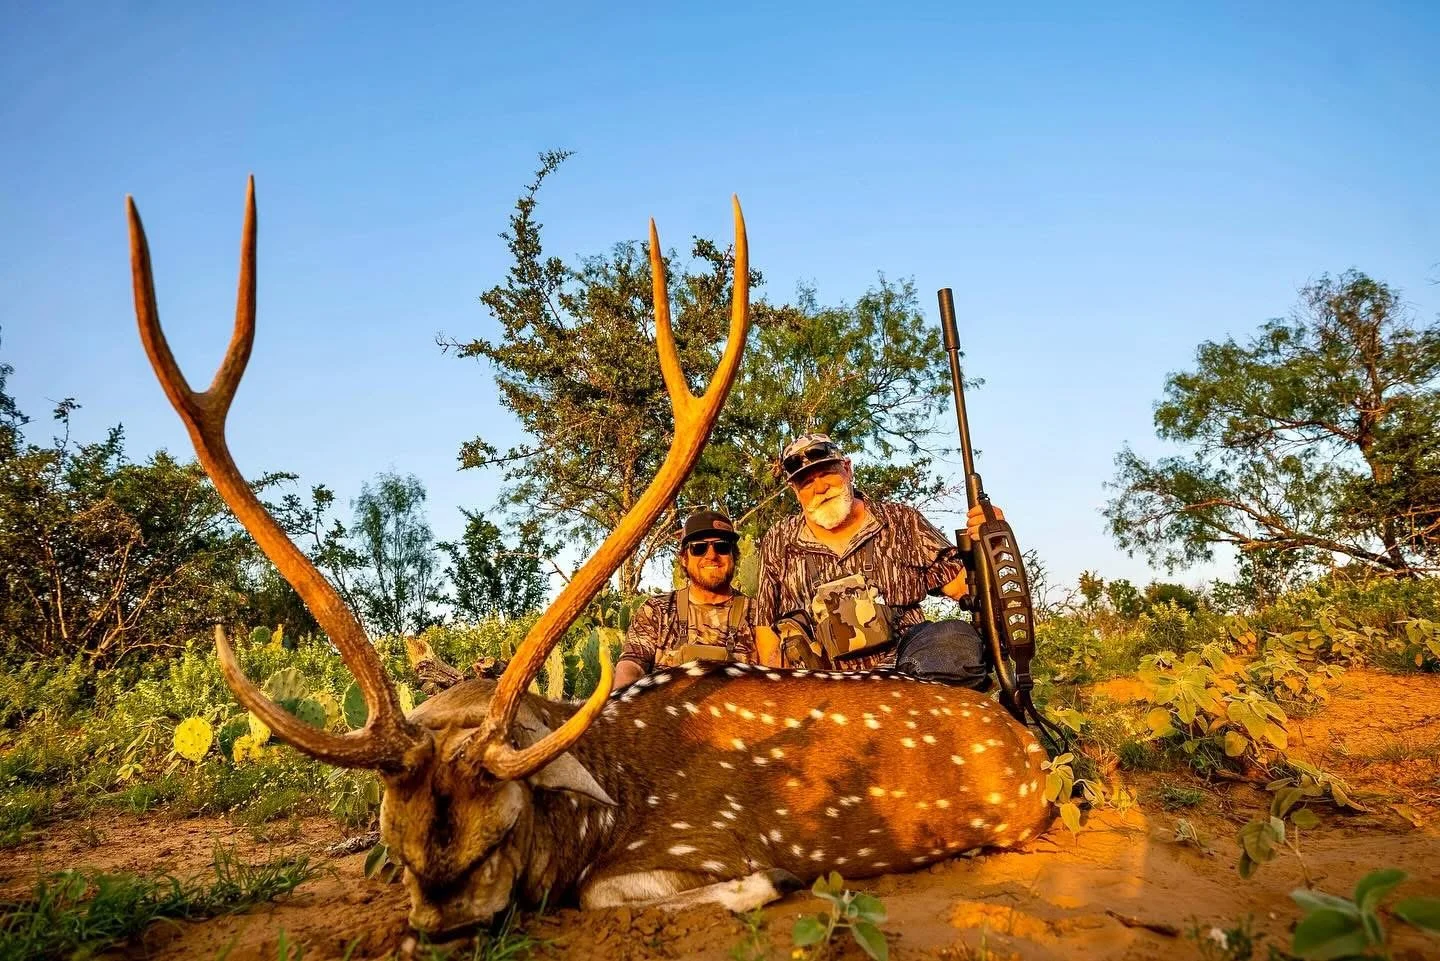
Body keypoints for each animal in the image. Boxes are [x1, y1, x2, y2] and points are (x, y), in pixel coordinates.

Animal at [126, 178, 1055, 935]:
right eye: (396, 840)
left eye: (501, 827)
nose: (447, 927)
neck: (596, 804)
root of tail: (1028, 736)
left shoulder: (703, 840)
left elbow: (625, 890)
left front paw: (776, 883)